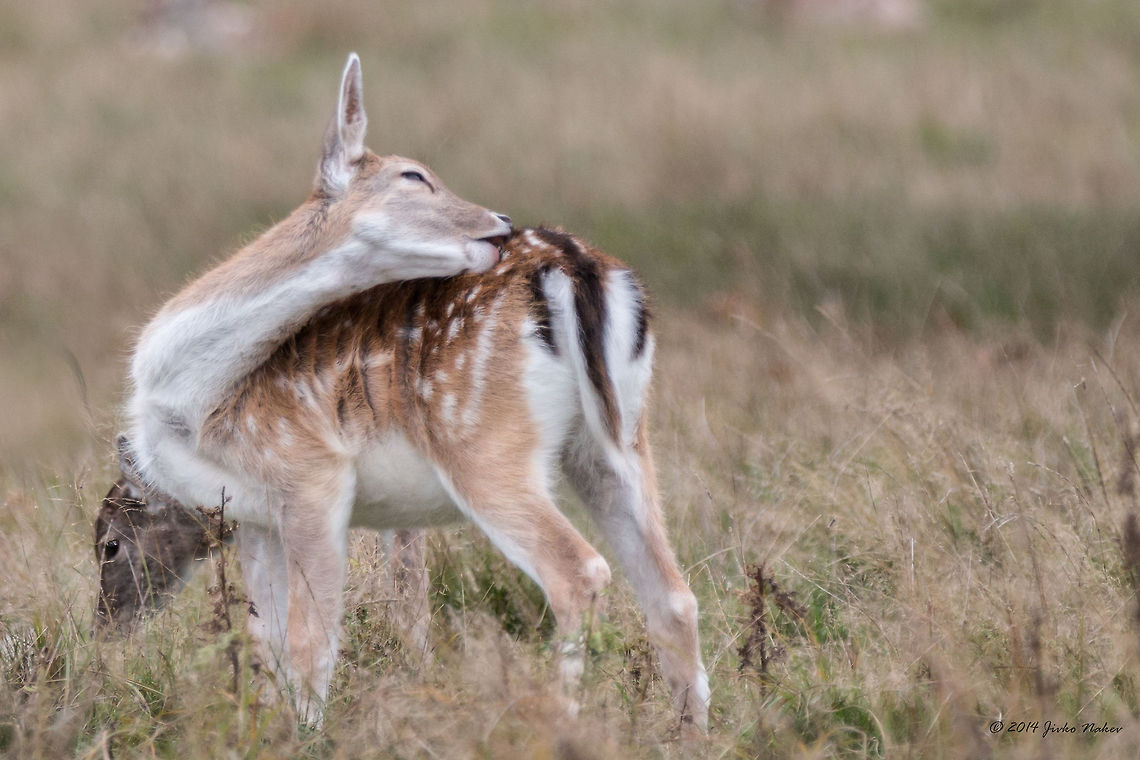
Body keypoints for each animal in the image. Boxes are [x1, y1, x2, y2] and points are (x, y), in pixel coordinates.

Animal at [94, 52, 710, 730]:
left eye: (108, 545)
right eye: (415, 175)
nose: (104, 632)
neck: (188, 400)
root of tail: (577, 267)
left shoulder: (309, 474)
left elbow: (312, 643)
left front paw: (307, 734)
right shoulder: (256, 515)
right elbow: (272, 640)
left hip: (483, 443)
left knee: (579, 571)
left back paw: (559, 720)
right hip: (615, 441)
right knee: (674, 596)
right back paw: (693, 734)